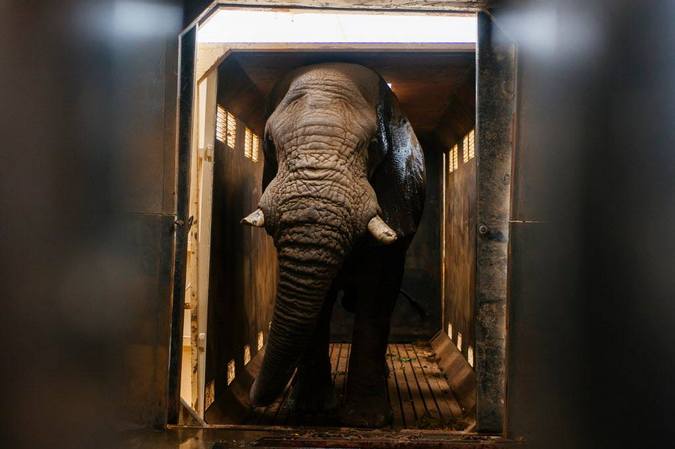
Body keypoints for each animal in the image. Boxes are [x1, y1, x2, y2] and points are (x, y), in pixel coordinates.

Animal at [240, 63, 426, 428]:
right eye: (268, 143)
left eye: (373, 145)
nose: (251, 398)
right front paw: (309, 411)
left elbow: (378, 292)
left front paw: (367, 420)